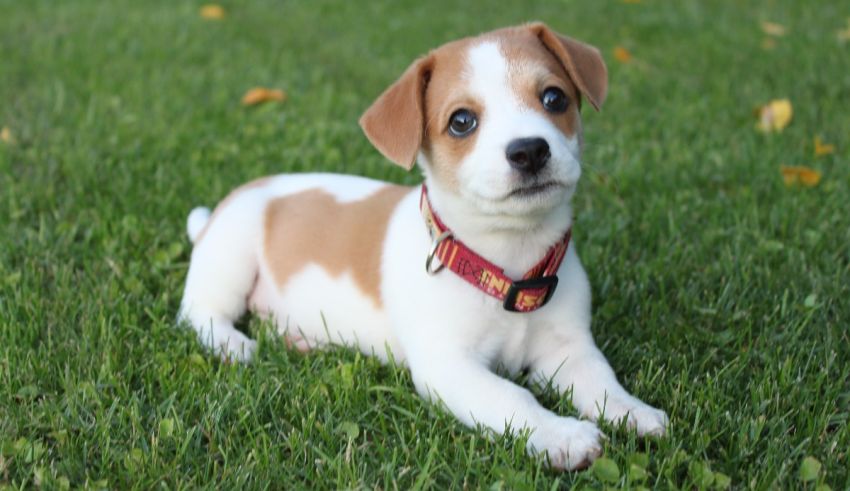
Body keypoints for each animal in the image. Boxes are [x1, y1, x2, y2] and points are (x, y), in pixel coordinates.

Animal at [181, 24, 668, 472]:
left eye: (554, 98)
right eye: (461, 121)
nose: (529, 150)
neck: (504, 264)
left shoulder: (567, 348)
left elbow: (599, 379)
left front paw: (632, 411)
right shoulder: (448, 366)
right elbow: (512, 396)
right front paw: (561, 435)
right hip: (231, 256)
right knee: (198, 312)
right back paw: (232, 343)